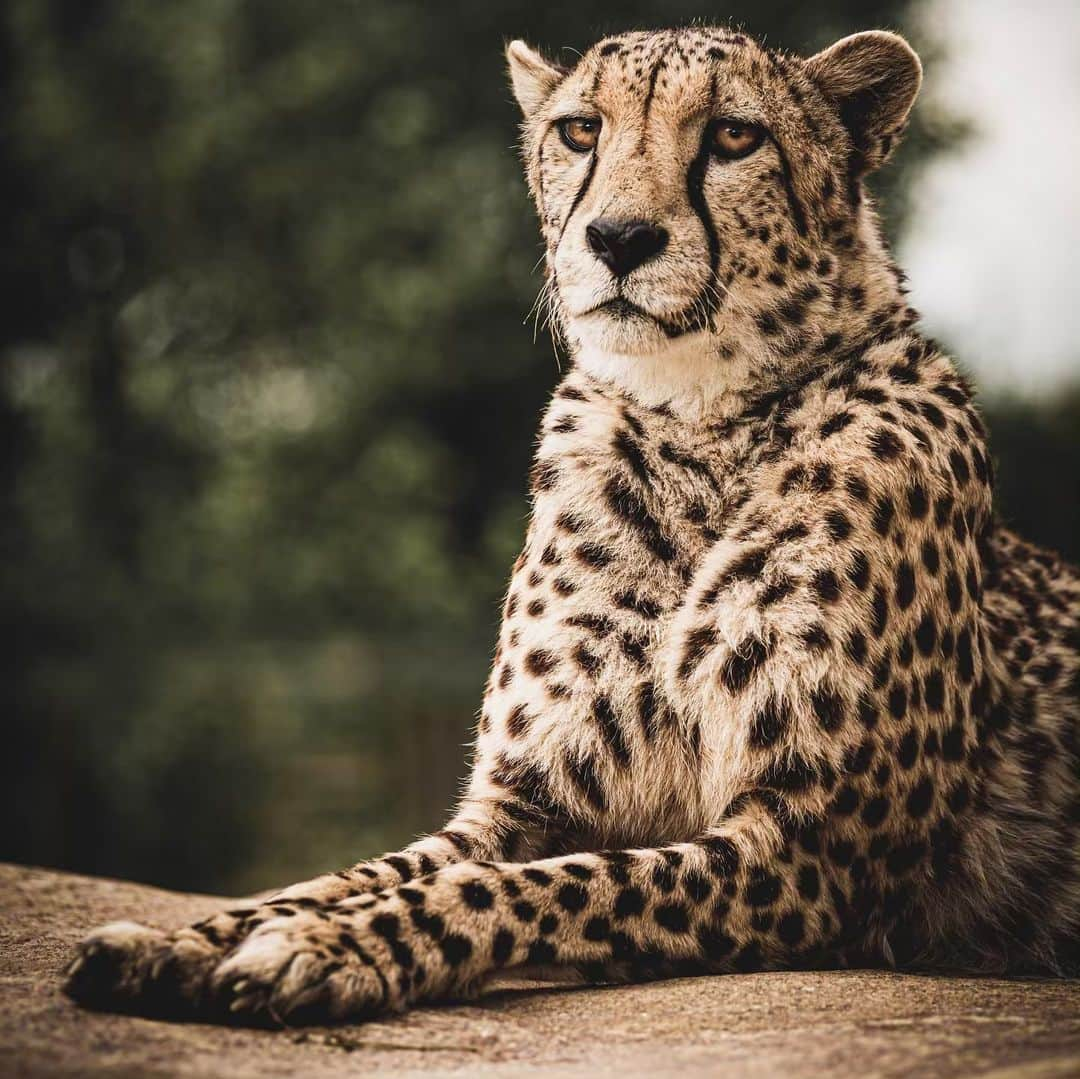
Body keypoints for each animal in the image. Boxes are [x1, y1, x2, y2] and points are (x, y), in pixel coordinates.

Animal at [65, 23, 1080, 1019]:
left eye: (734, 137)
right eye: (581, 131)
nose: (619, 238)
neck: (699, 422)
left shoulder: (814, 843)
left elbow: (533, 886)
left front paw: (329, 948)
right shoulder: (521, 802)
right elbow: (347, 875)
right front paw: (183, 940)